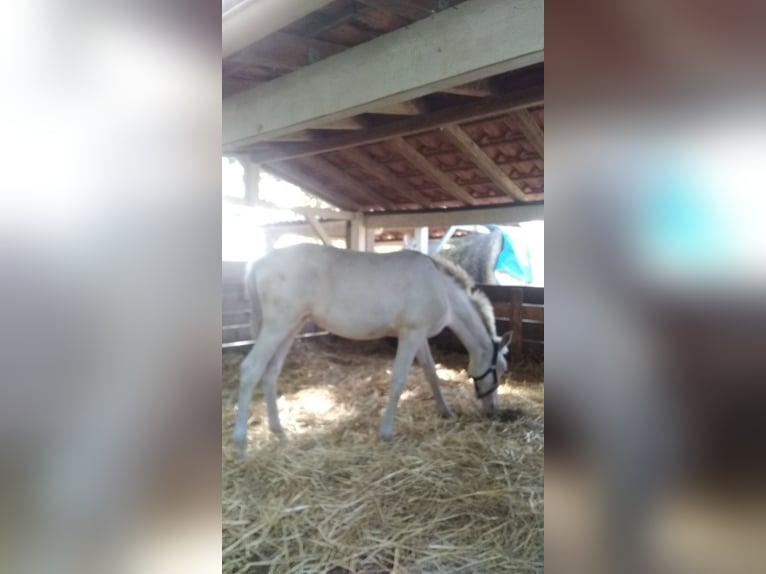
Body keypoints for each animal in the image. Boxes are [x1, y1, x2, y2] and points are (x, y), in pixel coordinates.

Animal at [232, 244, 510, 460]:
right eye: (501, 369)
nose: (492, 409)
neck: (441, 289)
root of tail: (259, 262)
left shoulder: (418, 336)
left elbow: (431, 373)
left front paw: (446, 412)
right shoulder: (411, 334)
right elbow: (398, 381)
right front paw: (387, 433)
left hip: (291, 327)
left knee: (271, 372)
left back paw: (278, 430)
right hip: (277, 326)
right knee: (251, 369)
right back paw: (241, 445)